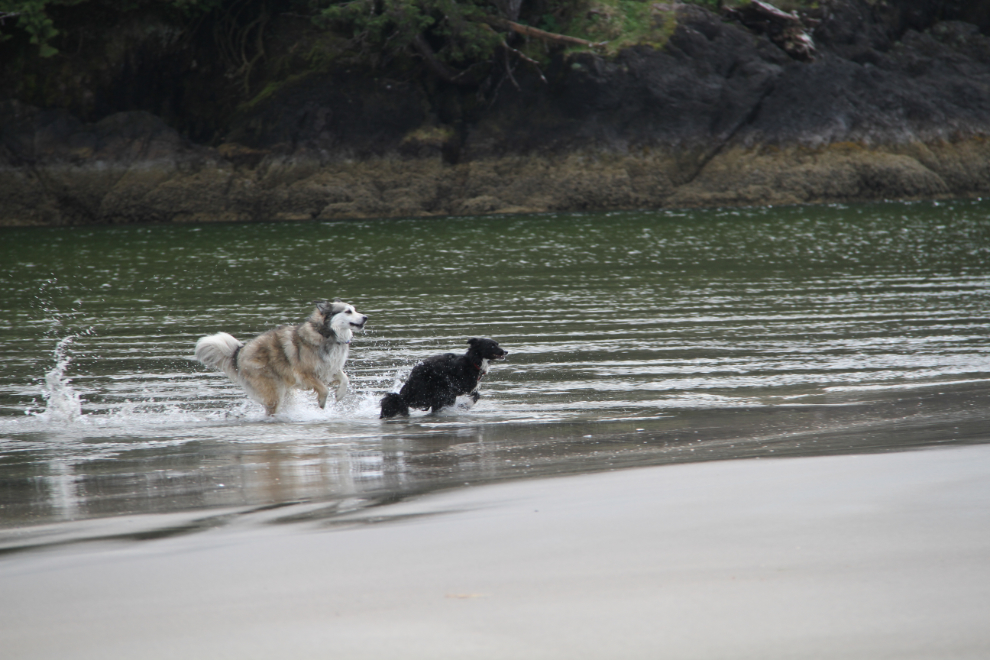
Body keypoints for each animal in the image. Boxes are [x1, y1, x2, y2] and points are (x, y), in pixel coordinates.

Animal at [382, 340, 512, 418]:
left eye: (497, 344)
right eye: (492, 345)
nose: (506, 351)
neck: (473, 362)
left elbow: (476, 394)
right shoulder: (457, 387)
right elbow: (474, 395)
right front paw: (464, 405)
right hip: (436, 390)